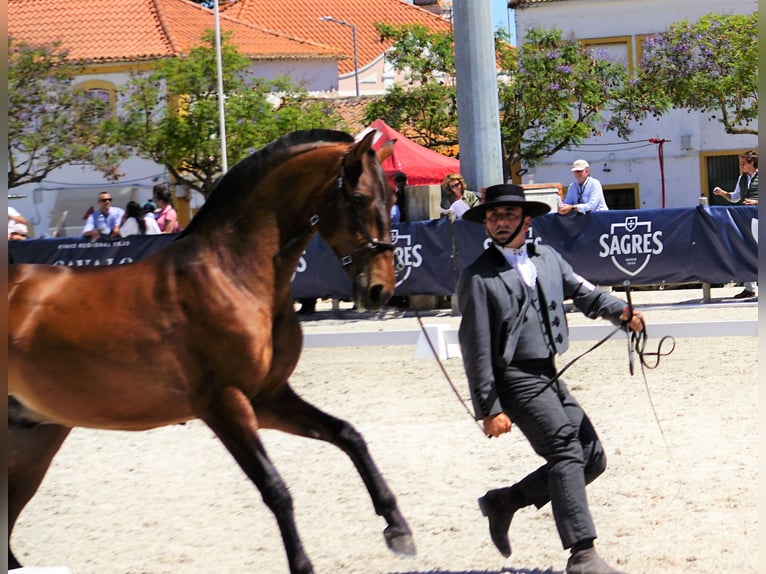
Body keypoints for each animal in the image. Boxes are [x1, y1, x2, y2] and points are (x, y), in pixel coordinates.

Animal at [7, 130, 414, 574]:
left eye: (393, 197)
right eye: (358, 198)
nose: (380, 291)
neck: (233, 273)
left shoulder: (268, 398)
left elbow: (349, 435)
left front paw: (398, 528)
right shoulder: (224, 404)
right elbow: (276, 489)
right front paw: (304, 564)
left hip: (36, 435)